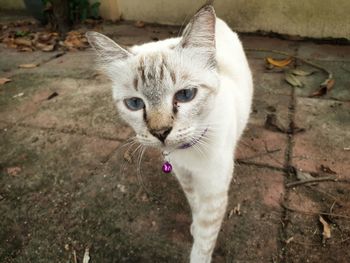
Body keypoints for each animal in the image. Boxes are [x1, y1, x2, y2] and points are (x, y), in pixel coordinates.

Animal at [86, 4, 253, 263]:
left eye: (185, 95)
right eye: (135, 103)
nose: (161, 132)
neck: (188, 152)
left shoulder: (213, 190)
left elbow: (204, 239)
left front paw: (198, 242)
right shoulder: (184, 176)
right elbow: (194, 205)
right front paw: (193, 226)